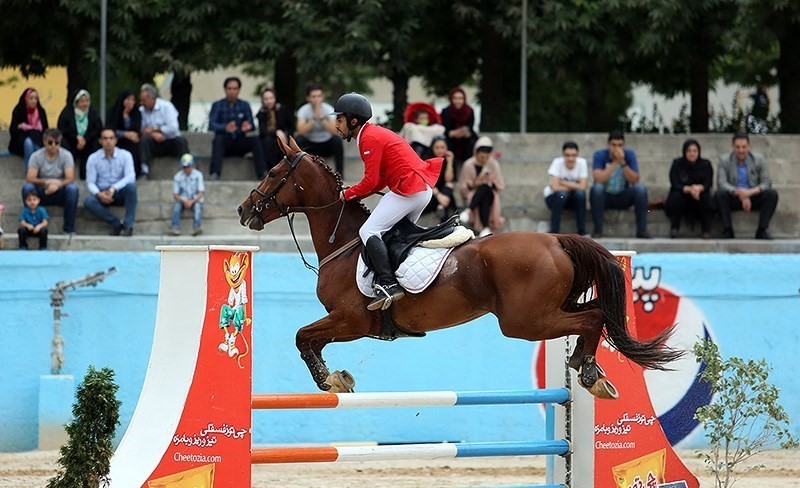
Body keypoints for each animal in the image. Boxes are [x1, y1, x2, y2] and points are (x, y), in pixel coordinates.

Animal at [239, 135, 680, 398]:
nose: (244, 210)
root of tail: (556, 238)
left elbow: (302, 337)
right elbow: (308, 340)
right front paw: (335, 377)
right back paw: (590, 369)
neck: (343, 241)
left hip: (525, 320)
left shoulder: (351, 320)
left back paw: (588, 374)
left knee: (591, 319)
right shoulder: (345, 323)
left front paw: (329, 380)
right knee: (596, 313)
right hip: (548, 309)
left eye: (274, 172)